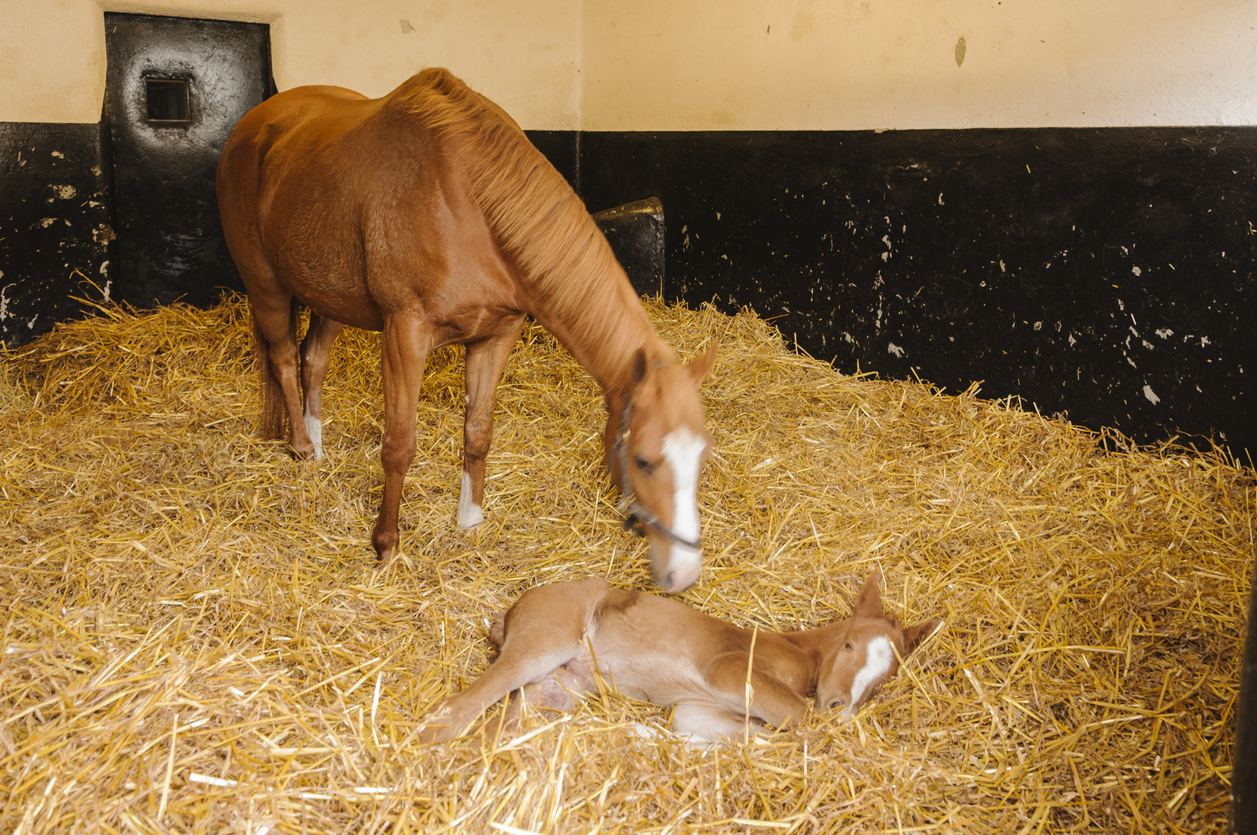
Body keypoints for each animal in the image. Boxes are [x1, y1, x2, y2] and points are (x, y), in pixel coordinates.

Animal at [417, 570, 940, 739]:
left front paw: (650, 736)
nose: (840, 708)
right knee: (462, 705)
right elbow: (799, 720)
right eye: (849, 643)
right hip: (544, 643)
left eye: (888, 675)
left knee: (498, 725)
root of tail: (511, 612)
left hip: (561, 685)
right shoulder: (730, 669)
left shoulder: (699, 709)